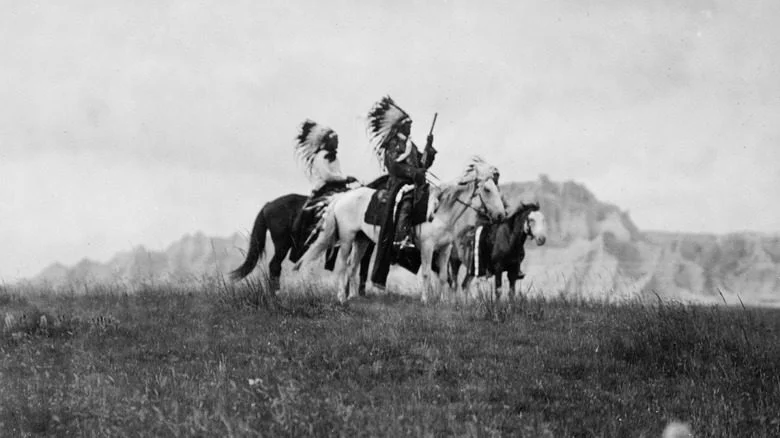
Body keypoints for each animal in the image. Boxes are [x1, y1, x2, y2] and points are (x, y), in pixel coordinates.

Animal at [292, 157, 507, 303]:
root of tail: (342, 197)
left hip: (361, 240)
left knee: (352, 266)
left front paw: (444, 302)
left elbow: (444, 277)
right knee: (342, 266)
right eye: (487, 189)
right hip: (346, 239)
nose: (501, 215)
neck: (440, 210)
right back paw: (341, 298)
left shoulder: (445, 249)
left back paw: (353, 297)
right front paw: (425, 300)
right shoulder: (427, 247)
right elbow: (426, 273)